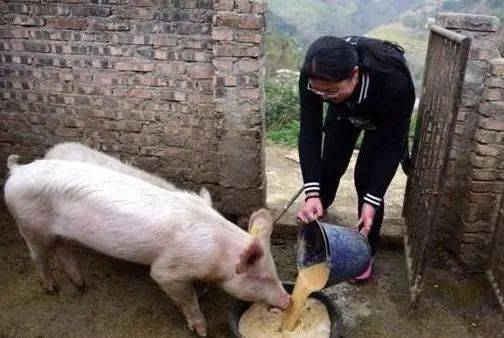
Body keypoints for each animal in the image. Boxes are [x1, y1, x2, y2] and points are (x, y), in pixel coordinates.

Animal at [2, 155, 288, 336]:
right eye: (262, 278)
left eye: (274, 271)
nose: (286, 300)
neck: (217, 254)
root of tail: (17, 170)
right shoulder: (167, 271)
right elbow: (186, 299)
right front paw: (202, 330)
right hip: (27, 224)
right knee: (38, 256)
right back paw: (52, 289)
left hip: (59, 233)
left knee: (63, 250)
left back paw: (81, 285)